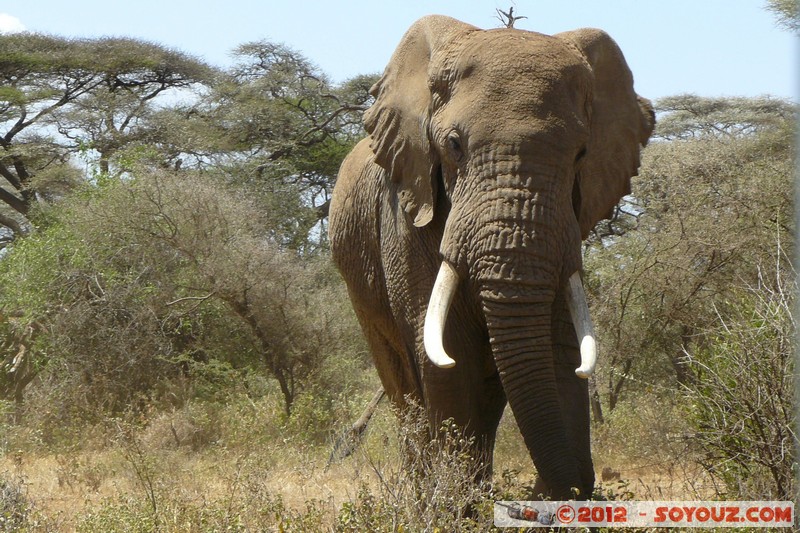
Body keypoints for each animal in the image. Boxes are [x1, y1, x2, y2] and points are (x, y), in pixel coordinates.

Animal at [328, 16, 652, 498]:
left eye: (581, 154)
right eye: (454, 145)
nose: (564, 488)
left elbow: (556, 349)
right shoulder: (406, 213)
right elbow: (447, 356)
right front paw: (453, 504)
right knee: (403, 385)